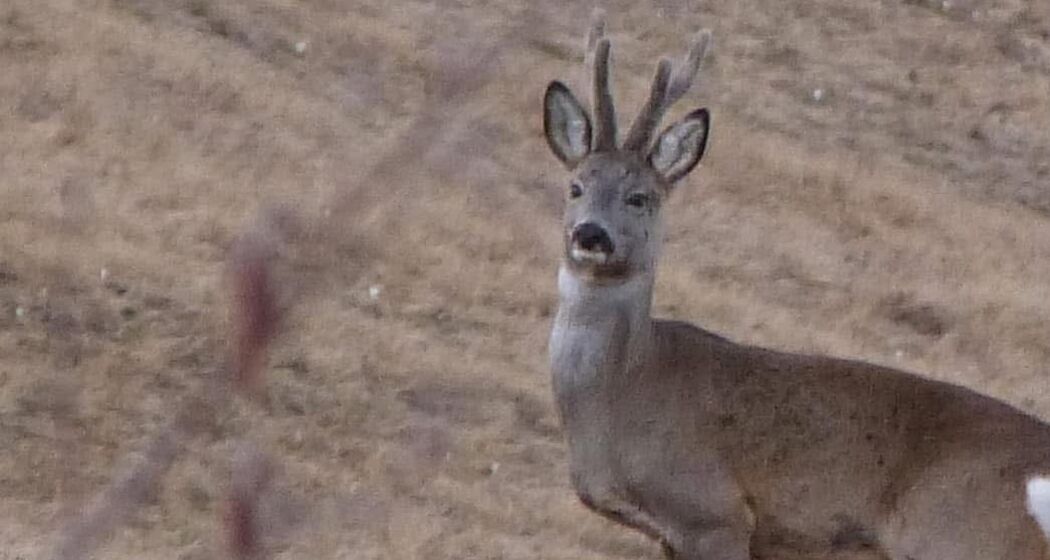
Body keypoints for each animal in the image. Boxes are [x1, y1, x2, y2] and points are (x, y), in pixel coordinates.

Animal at [544, 14, 1050, 560]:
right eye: (576, 186)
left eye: (640, 197)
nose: (590, 234)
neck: (626, 387)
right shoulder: (673, 536)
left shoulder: (713, 511)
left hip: (962, 536)